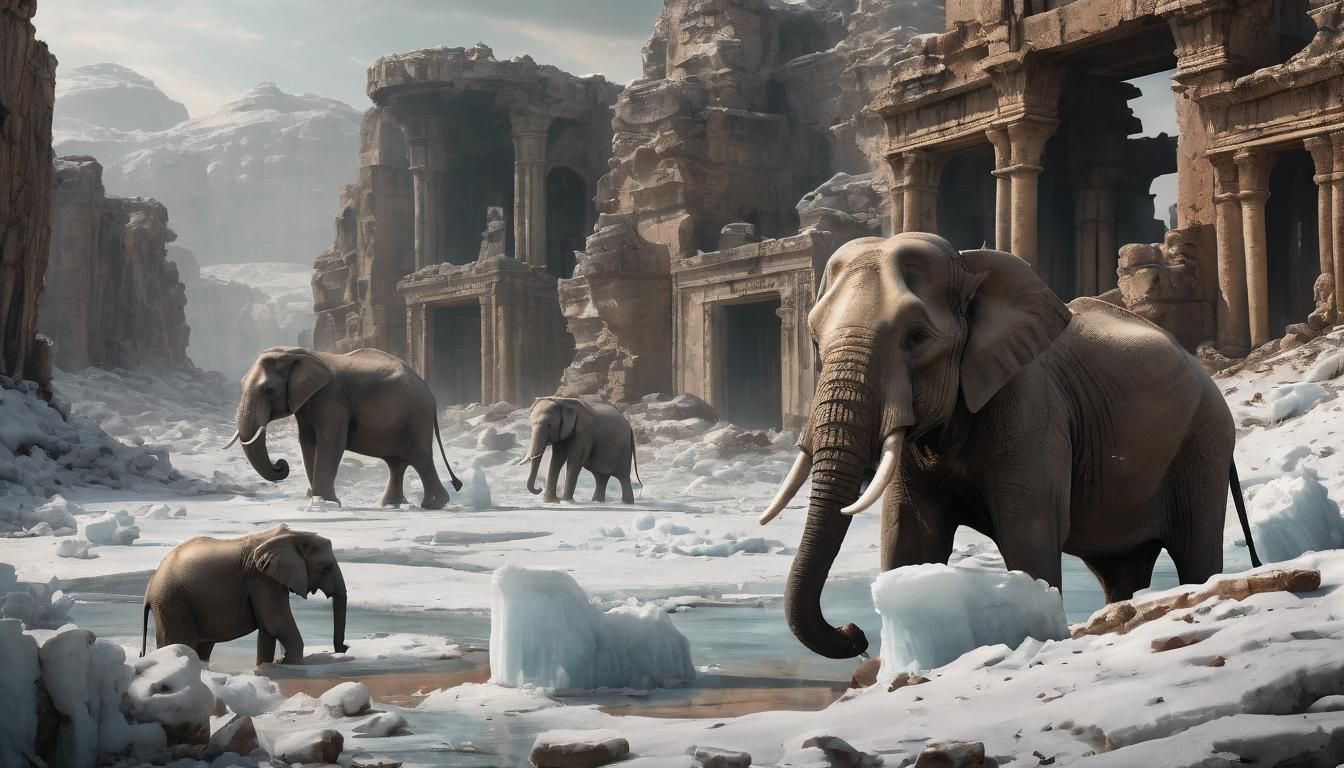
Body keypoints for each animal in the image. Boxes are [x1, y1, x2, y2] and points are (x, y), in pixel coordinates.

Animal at [141, 525, 347, 665]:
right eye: (326, 568)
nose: (344, 648)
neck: (295, 535)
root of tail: (149, 588)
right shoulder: (262, 579)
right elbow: (276, 623)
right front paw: (287, 662)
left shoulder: (266, 579)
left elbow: (268, 629)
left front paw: (268, 666)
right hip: (171, 603)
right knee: (177, 643)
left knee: (203, 647)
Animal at [226, 346, 462, 509]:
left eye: (268, 390)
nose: (281, 464)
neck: (296, 353)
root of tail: (431, 395)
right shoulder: (309, 401)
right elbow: (308, 442)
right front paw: (316, 501)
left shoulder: (331, 398)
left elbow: (330, 442)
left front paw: (326, 503)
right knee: (397, 462)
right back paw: (391, 505)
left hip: (416, 417)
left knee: (419, 458)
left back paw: (434, 504)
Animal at [760, 232, 1261, 660]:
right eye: (814, 340)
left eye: (916, 338)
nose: (854, 634)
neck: (968, 266)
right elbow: (910, 537)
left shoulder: (1030, 406)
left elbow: (1029, 531)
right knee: (1119, 569)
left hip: (1203, 441)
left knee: (1195, 551)